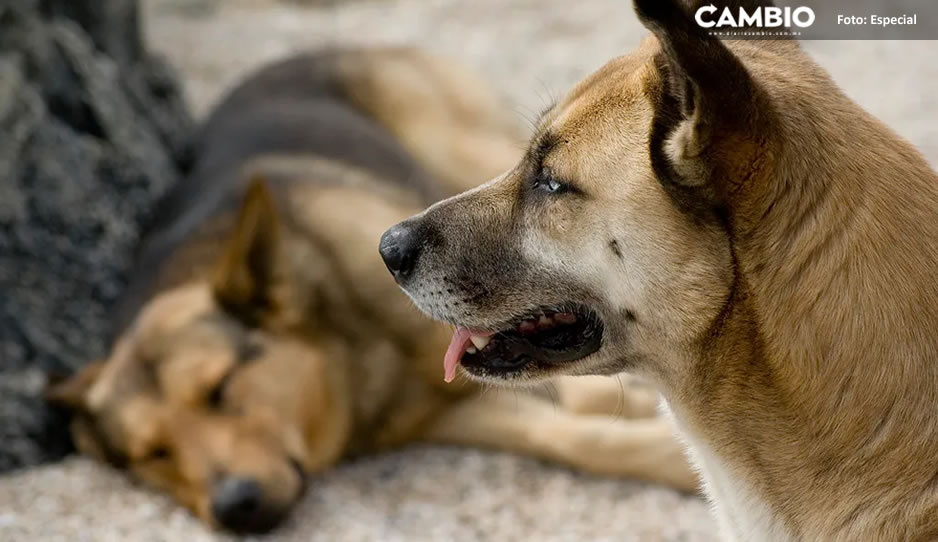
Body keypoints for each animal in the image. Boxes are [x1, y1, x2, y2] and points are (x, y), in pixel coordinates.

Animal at [49, 46, 696, 536]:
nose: (235, 508)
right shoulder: (457, 406)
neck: (347, 358)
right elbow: (568, 435)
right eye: (152, 456)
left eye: (221, 388)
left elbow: (584, 398)